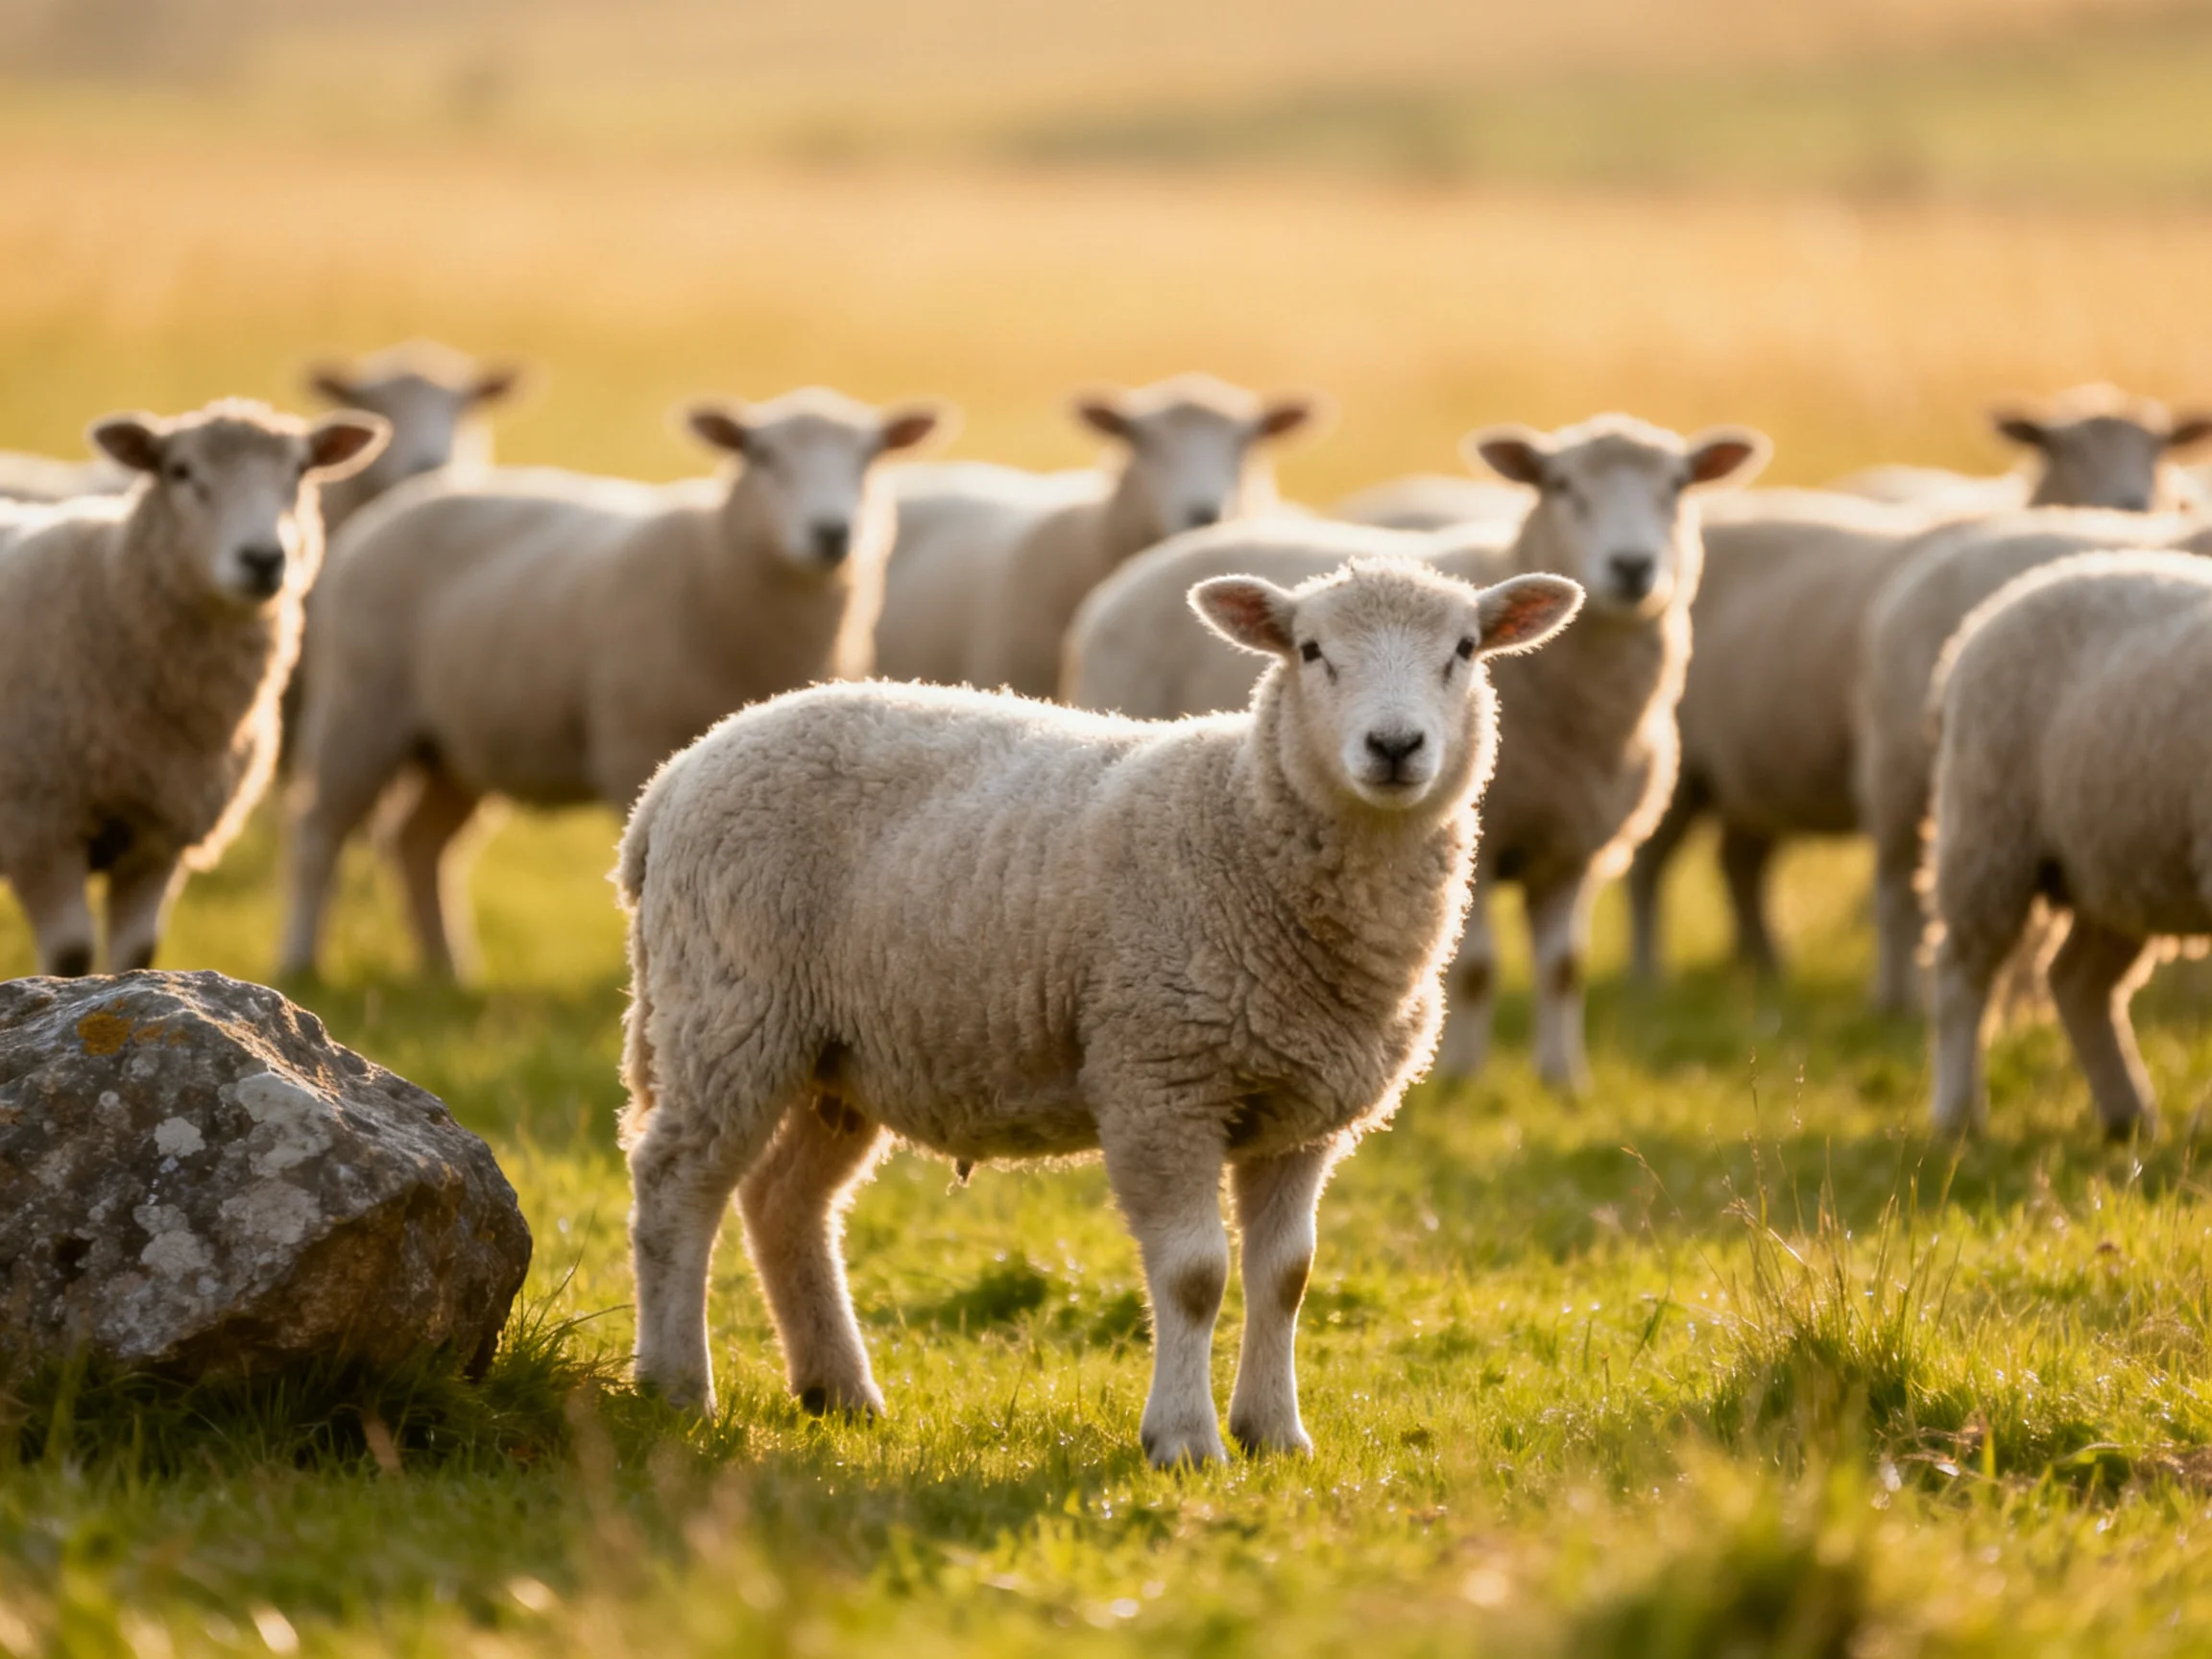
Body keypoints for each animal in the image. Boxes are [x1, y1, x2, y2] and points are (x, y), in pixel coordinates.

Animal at [0, 399, 387, 976]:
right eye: (180, 471)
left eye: (300, 470)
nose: (262, 559)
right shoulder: (39, 827)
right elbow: (70, 953)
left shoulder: (162, 835)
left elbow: (137, 953)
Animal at [277, 388, 950, 981]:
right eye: (761, 454)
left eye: (871, 456)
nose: (831, 533)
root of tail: (401, 503)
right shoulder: (636, 742)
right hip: (360, 708)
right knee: (319, 833)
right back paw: (304, 958)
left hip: (453, 744)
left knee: (420, 845)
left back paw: (447, 970)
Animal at [614, 558, 1584, 1463]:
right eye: (1311, 650)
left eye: (1465, 650)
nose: (1394, 745)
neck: (1241, 820)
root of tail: (679, 772)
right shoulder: (1161, 1081)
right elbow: (1194, 1274)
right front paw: (1185, 1442)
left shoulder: (1301, 1115)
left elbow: (1287, 1275)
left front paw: (1275, 1435)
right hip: (729, 1009)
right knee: (675, 1186)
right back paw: (678, 1388)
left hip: (838, 1055)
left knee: (784, 1201)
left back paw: (838, 1391)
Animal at [1065, 414, 1769, 1092]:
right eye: (1562, 485)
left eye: (1679, 486)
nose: (1632, 567)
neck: (1586, 710)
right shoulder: (1489, 839)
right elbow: (1478, 967)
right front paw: (1461, 1079)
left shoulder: (1576, 846)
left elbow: (1565, 968)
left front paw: (1563, 1080)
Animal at [1924, 550, 2212, 1139]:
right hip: (1988, 836)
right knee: (1959, 974)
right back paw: (1959, 1116)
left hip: (2114, 868)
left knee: (2077, 983)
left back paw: (2128, 1116)